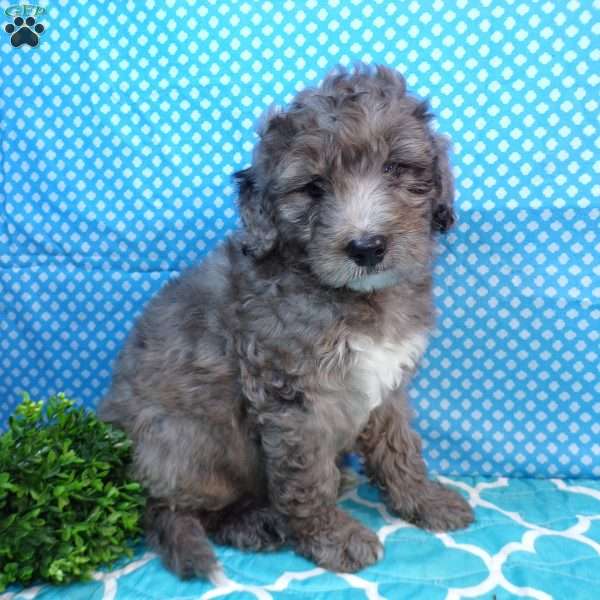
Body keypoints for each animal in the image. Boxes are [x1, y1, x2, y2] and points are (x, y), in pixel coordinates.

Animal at [98, 63, 474, 580]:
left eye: (396, 168)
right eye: (313, 187)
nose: (367, 247)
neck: (352, 296)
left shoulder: (387, 382)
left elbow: (398, 447)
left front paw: (424, 500)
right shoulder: (290, 395)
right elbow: (305, 477)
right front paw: (331, 536)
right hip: (185, 440)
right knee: (183, 509)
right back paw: (256, 521)